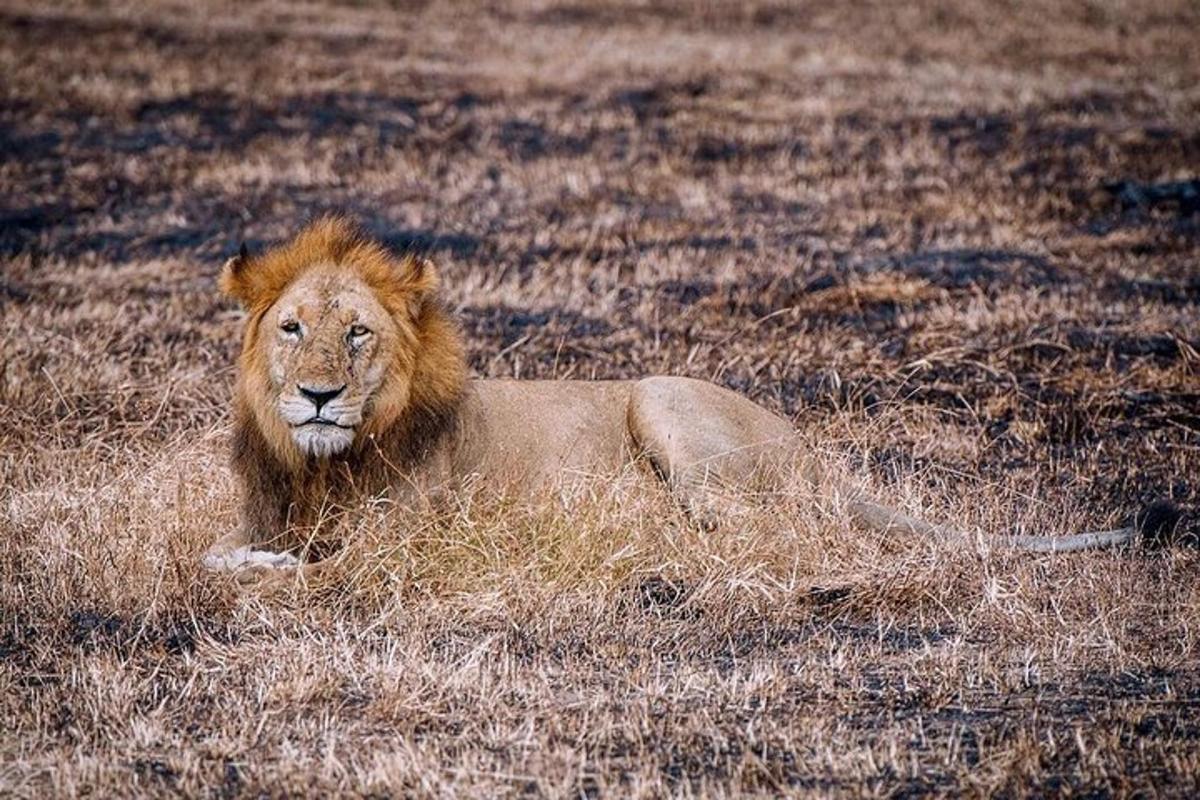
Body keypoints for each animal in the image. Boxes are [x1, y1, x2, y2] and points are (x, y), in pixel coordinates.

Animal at [201, 215, 1176, 585]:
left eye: (358, 334)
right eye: (292, 328)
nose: (318, 396)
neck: (319, 465)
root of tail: (809, 450)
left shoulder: (406, 546)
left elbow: (303, 565)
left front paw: (267, 570)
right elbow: (228, 548)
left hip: (665, 401)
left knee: (775, 538)